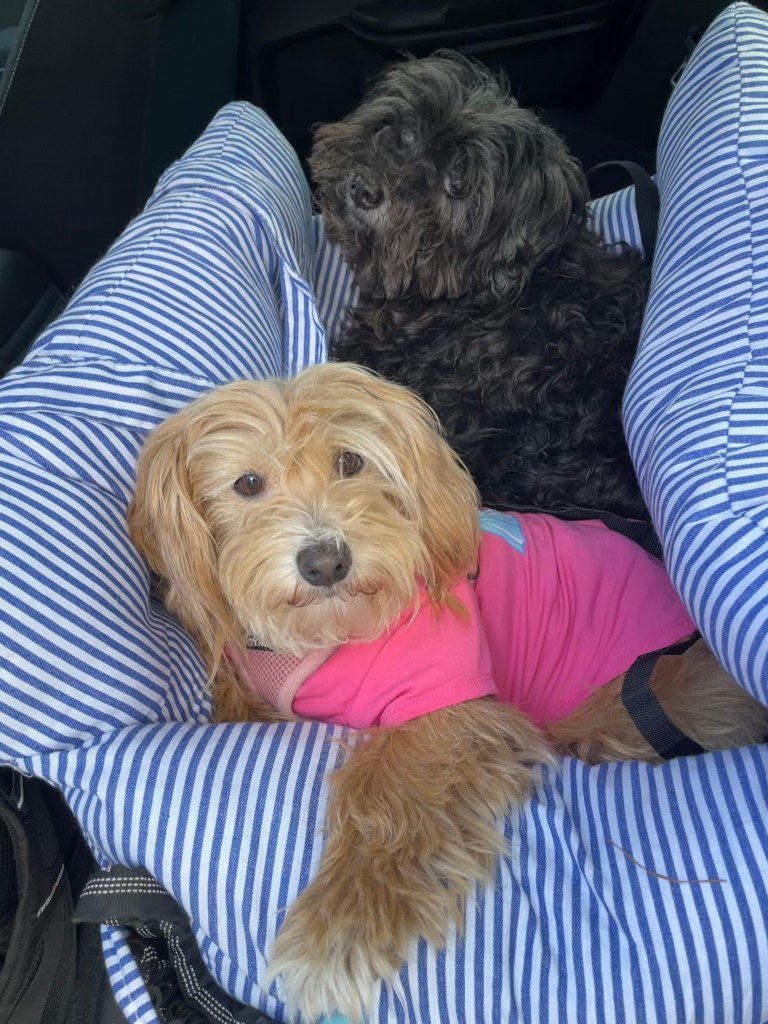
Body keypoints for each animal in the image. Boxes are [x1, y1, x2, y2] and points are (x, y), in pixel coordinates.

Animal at [128, 364, 768, 1019]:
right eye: (248, 483)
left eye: (351, 462)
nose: (325, 562)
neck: (320, 635)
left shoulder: (451, 710)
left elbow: (389, 798)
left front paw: (341, 928)